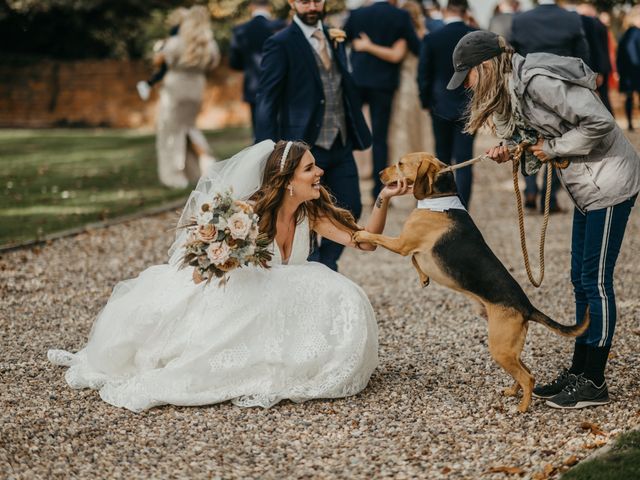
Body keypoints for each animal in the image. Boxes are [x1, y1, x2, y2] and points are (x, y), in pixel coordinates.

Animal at [356, 152, 592, 410]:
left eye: (399, 163)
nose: (379, 174)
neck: (440, 199)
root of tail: (527, 306)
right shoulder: (410, 248)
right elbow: (415, 261)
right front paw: (424, 278)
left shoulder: (402, 244)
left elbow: (380, 239)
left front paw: (360, 234)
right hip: (509, 348)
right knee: (525, 371)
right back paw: (512, 392)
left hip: (500, 347)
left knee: (528, 377)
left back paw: (521, 408)